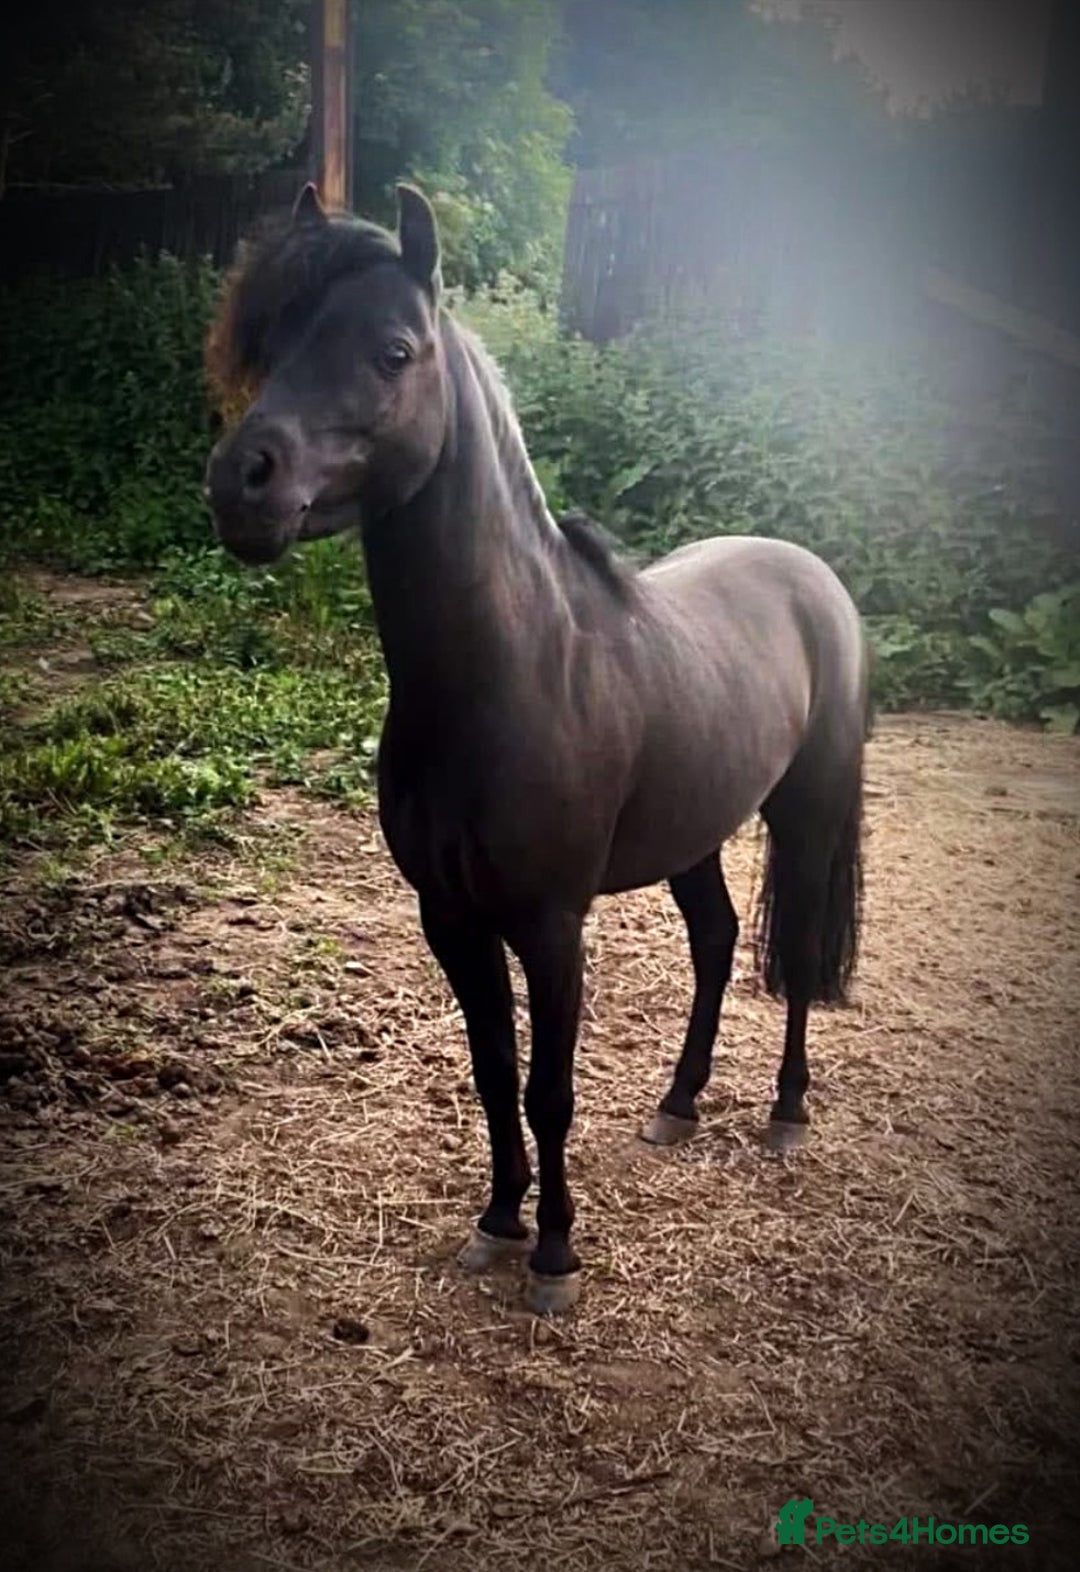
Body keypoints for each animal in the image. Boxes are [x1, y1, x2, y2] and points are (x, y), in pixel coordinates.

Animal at [204, 182, 869, 1316]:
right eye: (278, 341)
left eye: (393, 351)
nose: (240, 483)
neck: (505, 678)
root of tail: (809, 572)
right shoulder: (451, 919)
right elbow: (490, 1072)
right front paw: (498, 1222)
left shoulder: (553, 928)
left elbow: (548, 1086)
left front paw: (554, 1254)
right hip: (693, 836)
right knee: (718, 941)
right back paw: (678, 1104)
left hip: (809, 816)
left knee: (799, 955)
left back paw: (786, 1112)